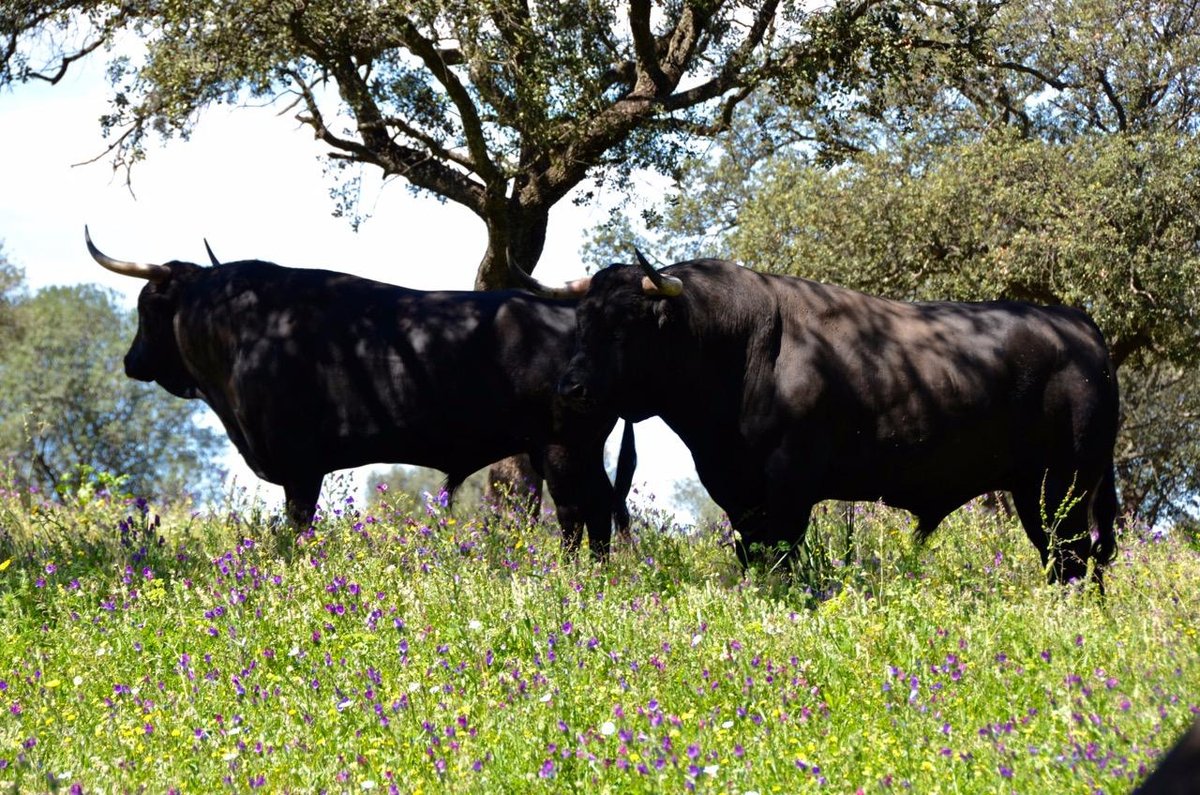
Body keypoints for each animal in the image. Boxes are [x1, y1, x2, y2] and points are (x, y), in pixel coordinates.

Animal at [85, 226, 638, 557]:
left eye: (146, 305)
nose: (131, 361)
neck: (241, 330)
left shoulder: (299, 466)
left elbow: (299, 526)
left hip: (563, 447)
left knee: (578, 512)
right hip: (577, 448)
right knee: (600, 510)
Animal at [518, 255, 1123, 586]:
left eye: (625, 324)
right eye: (581, 322)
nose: (571, 389)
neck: (738, 350)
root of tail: (1080, 327)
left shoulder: (789, 488)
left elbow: (782, 561)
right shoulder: (739, 494)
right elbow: (754, 558)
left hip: (1064, 486)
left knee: (1073, 559)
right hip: (1037, 492)